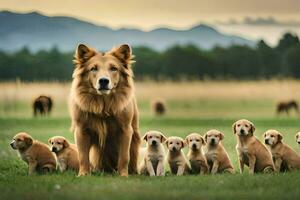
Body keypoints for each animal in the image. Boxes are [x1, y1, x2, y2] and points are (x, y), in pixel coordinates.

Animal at [69, 43, 141, 177]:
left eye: (113, 68)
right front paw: (83, 174)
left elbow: (124, 157)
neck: (103, 104)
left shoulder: (126, 130)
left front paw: (124, 175)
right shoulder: (81, 130)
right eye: (93, 68)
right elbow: (83, 156)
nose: (103, 81)